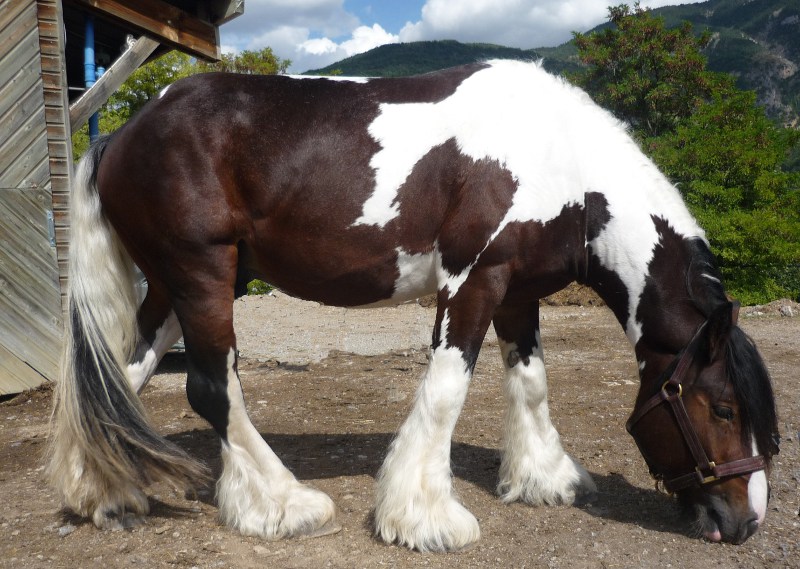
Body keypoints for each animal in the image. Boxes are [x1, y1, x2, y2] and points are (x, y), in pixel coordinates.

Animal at [47, 58, 780, 552]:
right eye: (722, 408)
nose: (745, 522)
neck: (559, 162)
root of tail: (120, 134)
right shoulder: (473, 281)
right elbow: (448, 388)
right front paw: (425, 517)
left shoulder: (517, 293)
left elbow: (531, 383)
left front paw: (545, 478)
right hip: (202, 273)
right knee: (209, 388)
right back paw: (284, 504)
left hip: (172, 287)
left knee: (120, 376)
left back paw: (105, 493)